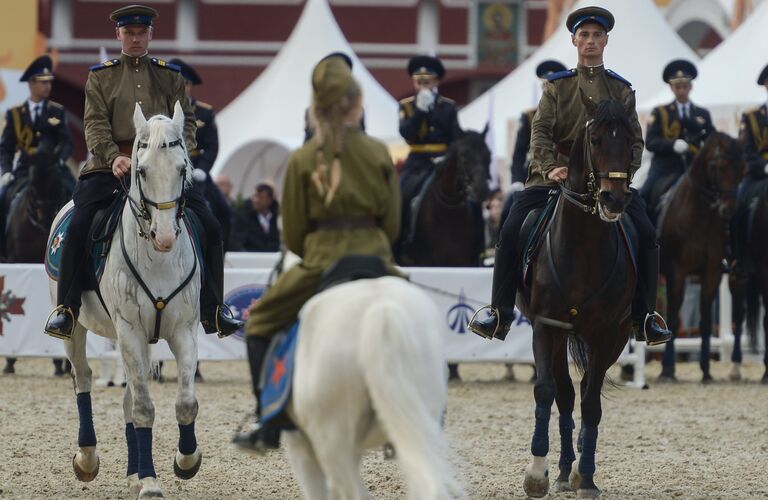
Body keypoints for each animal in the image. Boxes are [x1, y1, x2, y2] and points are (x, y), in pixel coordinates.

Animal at [48, 103, 202, 498]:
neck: (158, 259)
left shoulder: (183, 330)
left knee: (128, 396)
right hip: (78, 329)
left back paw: (134, 472)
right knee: (84, 379)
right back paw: (87, 459)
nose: (164, 237)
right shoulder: (129, 328)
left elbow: (184, 402)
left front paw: (185, 462)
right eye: (141, 170)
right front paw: (150, 482)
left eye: (182, 168)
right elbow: (145, 407)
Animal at [520, 94, 636, 500]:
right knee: (565, 394)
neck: (584, 244)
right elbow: (546, 391)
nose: (613, 200)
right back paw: (561, 469)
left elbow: (591, 404)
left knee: (586, 392)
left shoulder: (607, 334)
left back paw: (577, 468)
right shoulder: (546, 325)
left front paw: (586, 478)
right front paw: (537, 475)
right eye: (596, 139)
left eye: (632, 139)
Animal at [660, 131, 744, 380]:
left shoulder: (712, 272)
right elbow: (672, 317)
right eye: (720, 166)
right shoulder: (676, 271)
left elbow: (705, 321)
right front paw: (667, 369)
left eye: (743, 169)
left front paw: (706, 370)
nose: (728, 210)